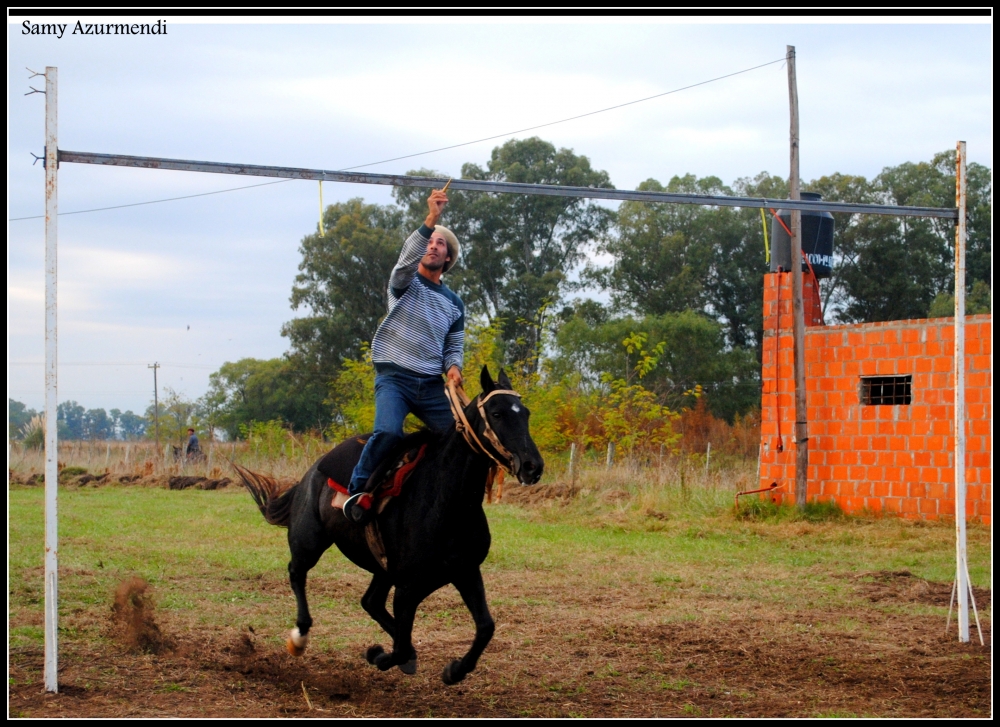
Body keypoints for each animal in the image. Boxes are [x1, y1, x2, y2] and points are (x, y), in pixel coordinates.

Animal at [235, 366, 544, 684]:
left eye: (525, 413)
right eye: (496, 413)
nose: (532, 466)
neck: (446, 502)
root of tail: (310, 473)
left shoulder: (465, 571)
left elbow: (485, 627)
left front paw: (454, 670)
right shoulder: (408, 587)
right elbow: (401, 646)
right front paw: (378, 655)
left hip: (381, 569)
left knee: (370, 601)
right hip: (308, 541)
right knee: (297, 573)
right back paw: (299, 637)